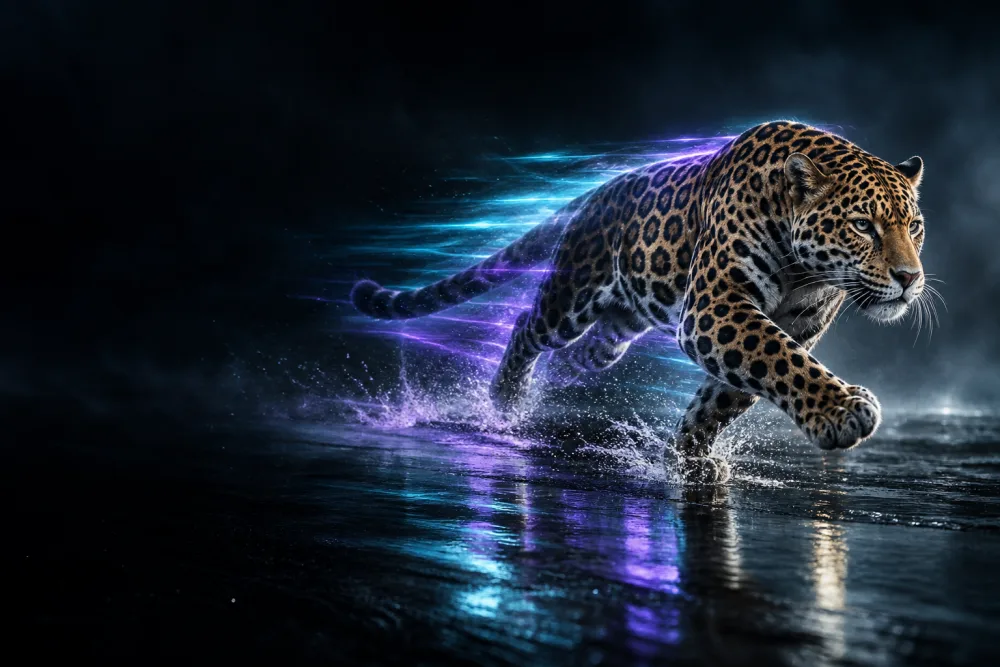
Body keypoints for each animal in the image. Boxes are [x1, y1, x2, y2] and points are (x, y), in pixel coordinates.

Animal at [350, 120, 931, 484]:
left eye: (915, 227)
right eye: (863, 226)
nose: (909, 278)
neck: (805, 270)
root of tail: (594, 194)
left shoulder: (790, 324)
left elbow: (724, 396)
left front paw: (688, 460)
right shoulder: (715, 308)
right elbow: (780, 360)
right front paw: (844, 410)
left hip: (616, 329)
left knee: (579, 357)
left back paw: (544, 389)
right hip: (571, 298)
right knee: (526, 327)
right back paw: (506, 402)